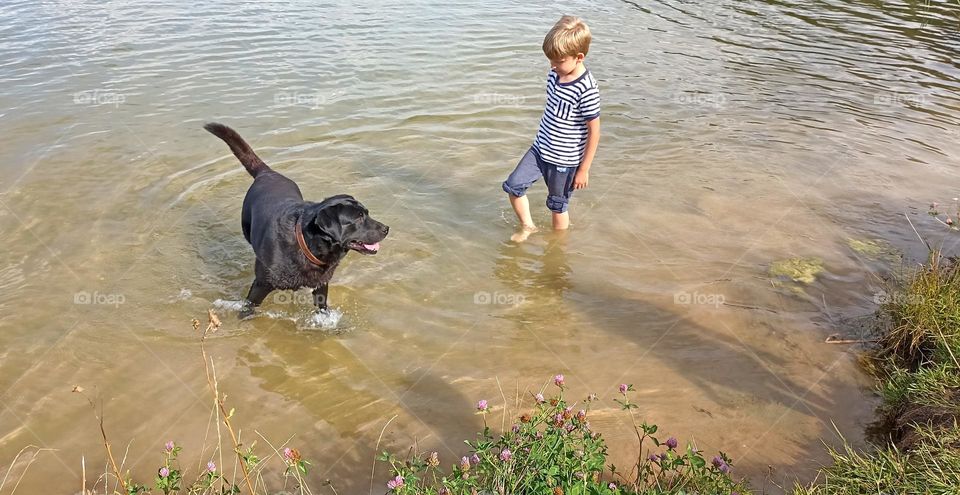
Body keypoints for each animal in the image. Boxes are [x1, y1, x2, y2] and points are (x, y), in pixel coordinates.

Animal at [204, 122, 388, 320]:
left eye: (367, 213)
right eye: (359, 217)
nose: (386, 229)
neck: (307, 245)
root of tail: (268, 173)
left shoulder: (321, 283)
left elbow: (322, 308)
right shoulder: (261, 284)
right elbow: (248, 307)